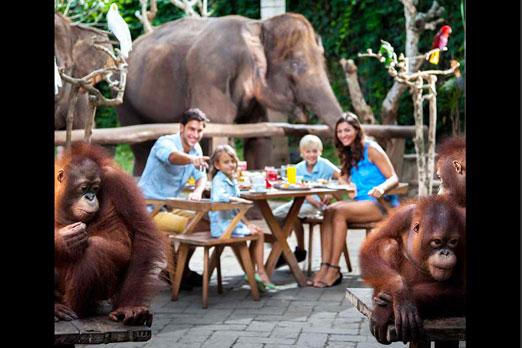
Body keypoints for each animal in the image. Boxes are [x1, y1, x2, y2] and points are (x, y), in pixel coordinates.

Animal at [118, 12, 344, 175]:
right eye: (295, 64)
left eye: (322, 60)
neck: (257, 25)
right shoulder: (211, 73)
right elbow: (216, 127)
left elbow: (257, 134)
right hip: (125, 97)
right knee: (141, 146)